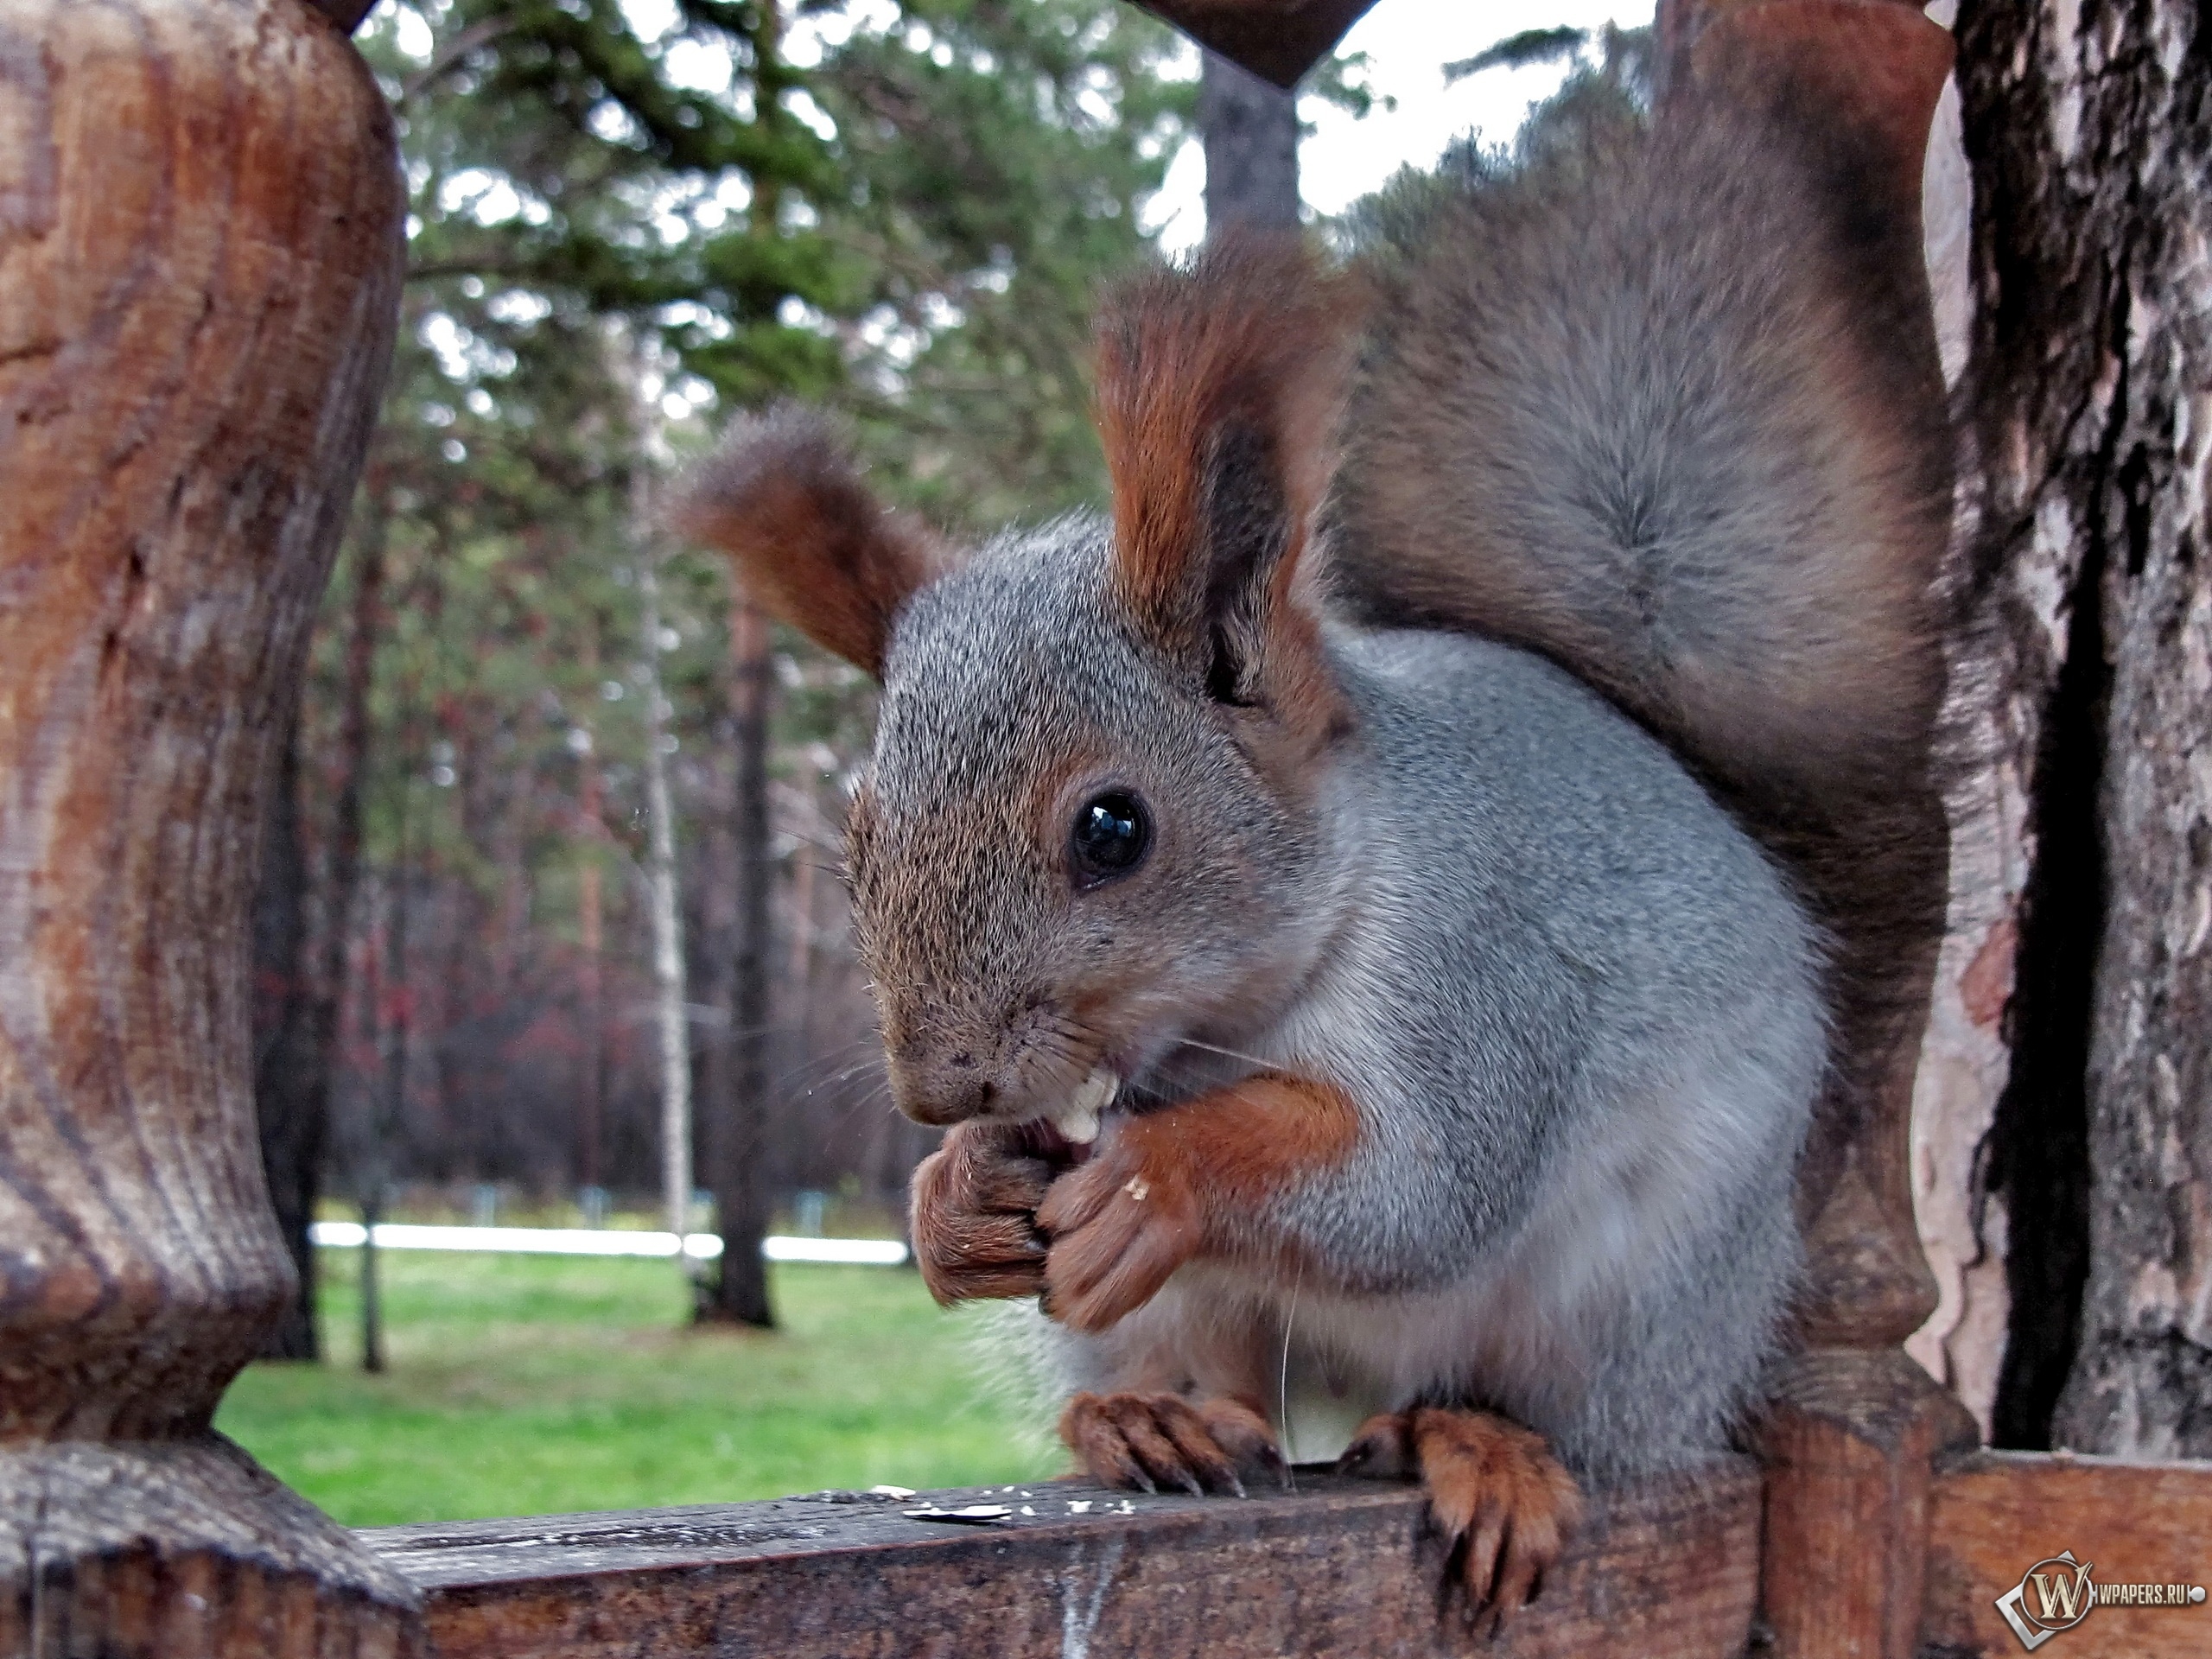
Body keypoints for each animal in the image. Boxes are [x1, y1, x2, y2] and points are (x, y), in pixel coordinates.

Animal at [677, 61, 1955, 1637]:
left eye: (1114, 828)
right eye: (852, 839)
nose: (938, 1090)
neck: (1236, 1022)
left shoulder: (1482, 979)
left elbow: (1416, 1186)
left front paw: (1155, 1181)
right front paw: (953, 1199)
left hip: (1640, 1295)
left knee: (1538, 1397)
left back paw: (1476, 1442)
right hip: (1212, 1314)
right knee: (1235, 1370)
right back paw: (1155, 1415)